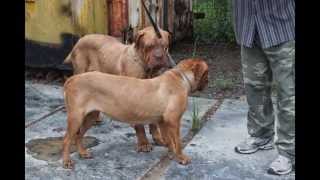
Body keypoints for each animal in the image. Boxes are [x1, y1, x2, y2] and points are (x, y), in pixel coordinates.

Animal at [62, 58, 209, 169]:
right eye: (207, 73)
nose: (208, 82)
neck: (181, 78)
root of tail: (73, 78)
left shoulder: (163, 121)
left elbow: (168, 140)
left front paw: (171, 153)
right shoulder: (173, 120)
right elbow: (177, 142)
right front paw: (181, 157)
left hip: (90, 117)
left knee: (79, 136)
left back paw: (82, 153)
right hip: (76, 117)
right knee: (67, 139)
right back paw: (66, 161)